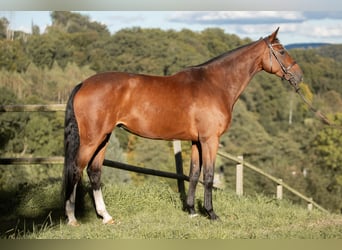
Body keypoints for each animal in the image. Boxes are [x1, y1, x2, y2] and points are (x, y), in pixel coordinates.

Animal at [62, 28, 304, 226]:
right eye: (282, 51)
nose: (299, 76)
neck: (215, 85)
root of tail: (83, 83)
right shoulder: (210, 140)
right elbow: (208, 175)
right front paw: (211, 213)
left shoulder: (196, 141)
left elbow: (194, 174)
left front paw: (191, 210)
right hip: (92, 139)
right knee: (76, 169)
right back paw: (72, 217)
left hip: (103, 138)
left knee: (94, 172)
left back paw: (106, 216)